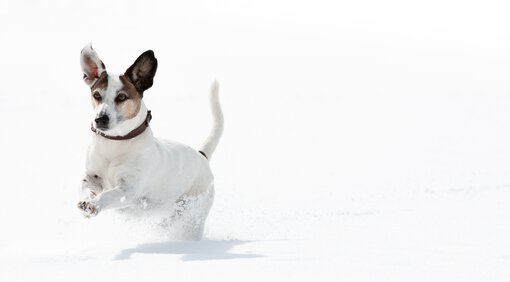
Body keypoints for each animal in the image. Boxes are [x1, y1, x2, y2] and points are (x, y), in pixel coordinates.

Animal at [76, 44, 223, 240]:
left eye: (121, 97)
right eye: (97, 95)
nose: (100, 119)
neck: (116, 142)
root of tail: (202, 156)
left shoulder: (129, 189)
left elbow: (109, 195)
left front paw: (95, 204)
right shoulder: (91, 177)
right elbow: (86, 187)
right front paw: (87, 202)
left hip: (193, 212)